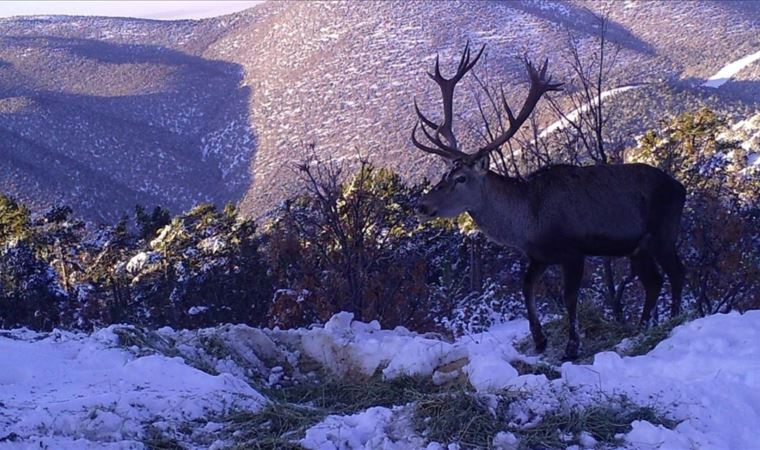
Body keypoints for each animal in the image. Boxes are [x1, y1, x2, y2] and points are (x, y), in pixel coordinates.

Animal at [412, 44, 684, 360]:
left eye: (461, 178)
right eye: (444, 173)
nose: (422, 206)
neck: (528, 220)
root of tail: (680, 188)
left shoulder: (573, 251)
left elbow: (569, 298)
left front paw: (571, 347)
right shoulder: (538, 255)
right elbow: (526, 287)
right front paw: (539, 339)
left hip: (664, 231)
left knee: (676, 273)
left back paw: (674, 320)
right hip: (637, 248)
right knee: (654, 281)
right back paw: (641, 329)